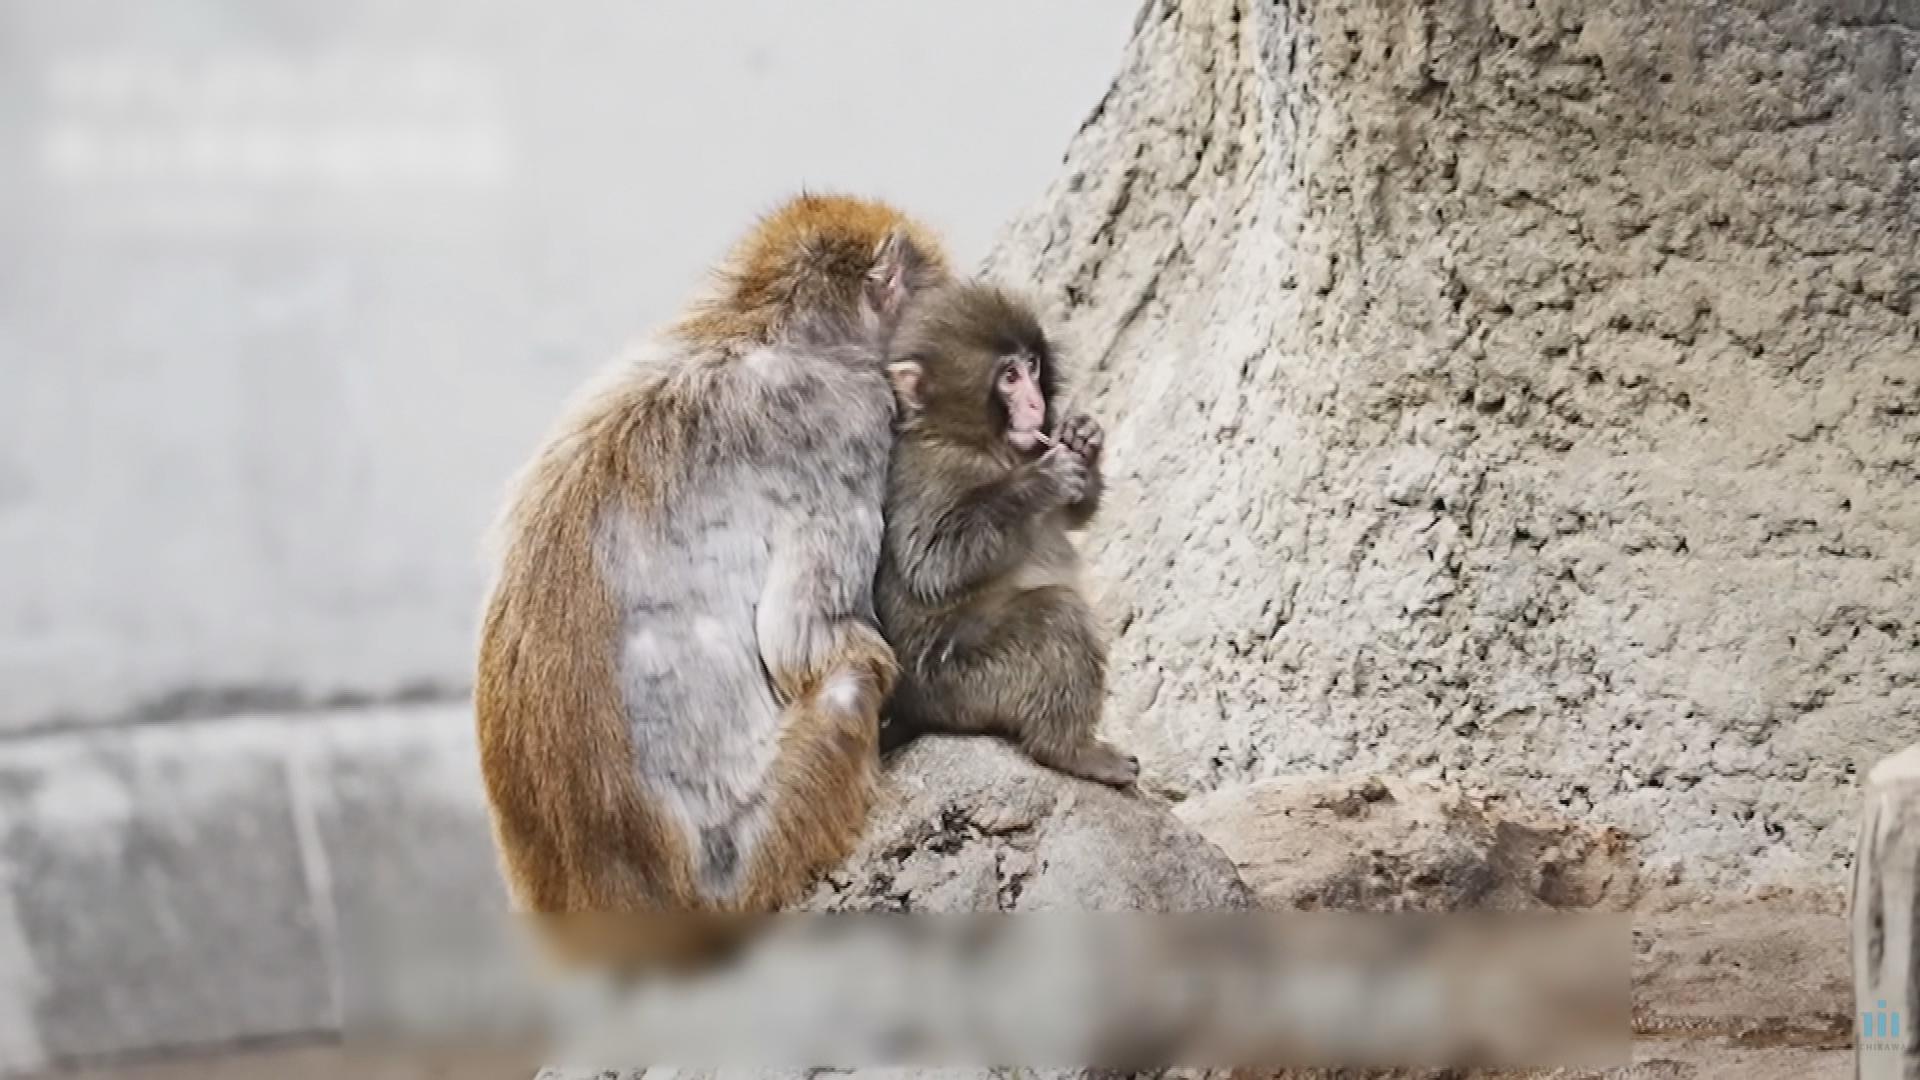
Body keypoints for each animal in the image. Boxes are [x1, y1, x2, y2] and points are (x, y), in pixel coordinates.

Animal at [873, 283, 1139, 788]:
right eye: (1009, 377)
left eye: (1032, 366)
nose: (1036, 404)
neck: (977, 441)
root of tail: (914, 711)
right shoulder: (929, 473)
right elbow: (933, 566)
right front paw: (1042, 480)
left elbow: (1070, 516)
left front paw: (1083, 440)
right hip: (963, 684)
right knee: (1057, 617)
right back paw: (1069, 751)